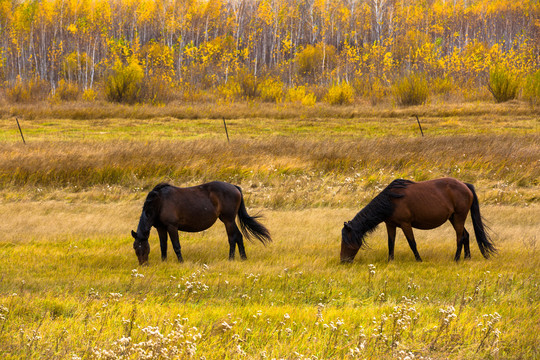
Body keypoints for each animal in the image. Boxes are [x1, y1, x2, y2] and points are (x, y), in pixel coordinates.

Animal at [130, 183, 272, 264]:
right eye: (135, 247)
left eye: (144, 247)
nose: (143, 264)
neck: (159, 202)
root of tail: (235, 187)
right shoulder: (161, 227)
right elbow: (163, 246)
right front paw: (163, 261)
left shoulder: (172, 226)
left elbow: (176, 246)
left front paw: (181, 262)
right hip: (229, 221)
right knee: (238, 237)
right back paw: (243, 258)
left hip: (228, 220)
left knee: (232, 238)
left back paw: (231, 259)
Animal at [340, 179, 496, 262]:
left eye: (347, 241)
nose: (343, 261)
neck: (391, 201)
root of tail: (465, 185)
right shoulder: (390, 225)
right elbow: (391, 243)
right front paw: (390, 261)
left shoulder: (405, 224)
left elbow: (412, 243)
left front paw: (419, 260)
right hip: (454, 218)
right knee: (466, 235)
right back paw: (467, 258)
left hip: (458, 217)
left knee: (460, 237)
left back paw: (456, 259)